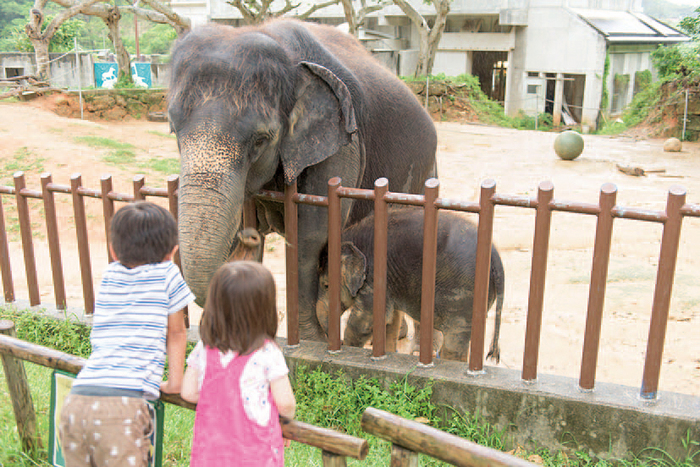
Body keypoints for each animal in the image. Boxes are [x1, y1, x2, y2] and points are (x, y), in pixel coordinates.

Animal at [167, 19, 434, 340]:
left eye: (260, 140)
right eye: (173, 129)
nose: (250, 236)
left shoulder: (344, 142)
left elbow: (311, 235)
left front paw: (311, 340)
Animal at [318, 207, 504, 364]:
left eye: (326, 286)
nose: (337, 340)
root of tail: (496, 258)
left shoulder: (373, 277)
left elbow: (365, 320)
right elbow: (390, 320)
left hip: (464, 297)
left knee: (454, 342)